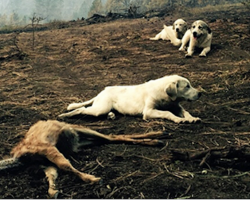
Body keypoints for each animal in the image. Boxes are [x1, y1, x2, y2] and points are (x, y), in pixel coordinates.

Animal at [0, 119, 166, 198]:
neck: (23, 159)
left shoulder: (48, 149)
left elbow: (65, 165)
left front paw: (94, 179)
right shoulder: (46, 164)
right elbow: (52, 175)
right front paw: (54, 191)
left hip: (80, 129)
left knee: (110, 136)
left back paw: (158, 136)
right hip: (81, 140)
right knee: (109, 138)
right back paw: (158, 137)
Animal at [58, 74, 201, 123]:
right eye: (187, 86)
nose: (200, 94)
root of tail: (102, 91)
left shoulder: (176, 106)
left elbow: (186, 112)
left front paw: (192, 118)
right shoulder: (148, 112)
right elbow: (167, 113)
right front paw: (179, 119)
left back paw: (111, 115)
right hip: (100, 108)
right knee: (81, 108)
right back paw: (65, 116)